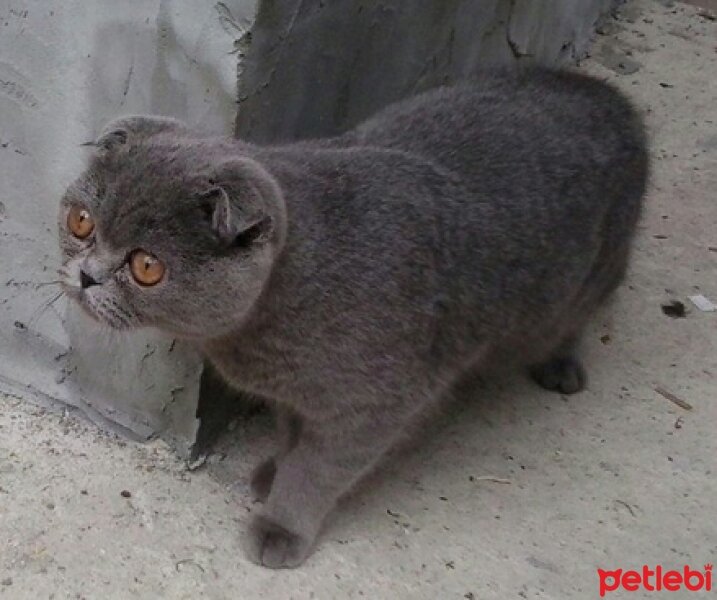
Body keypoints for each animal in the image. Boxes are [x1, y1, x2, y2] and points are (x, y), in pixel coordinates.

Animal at [58, 69, 648, 568]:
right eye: (81, 221)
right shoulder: (298, 393)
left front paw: (281, 524)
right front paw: (273, 471)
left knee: (577, 317)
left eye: (147, 266)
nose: (87, 276)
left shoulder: (372, 405)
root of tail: (613, 98)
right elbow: (293, 437)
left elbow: (318, 469)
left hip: (589, 278)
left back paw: (561, 368)